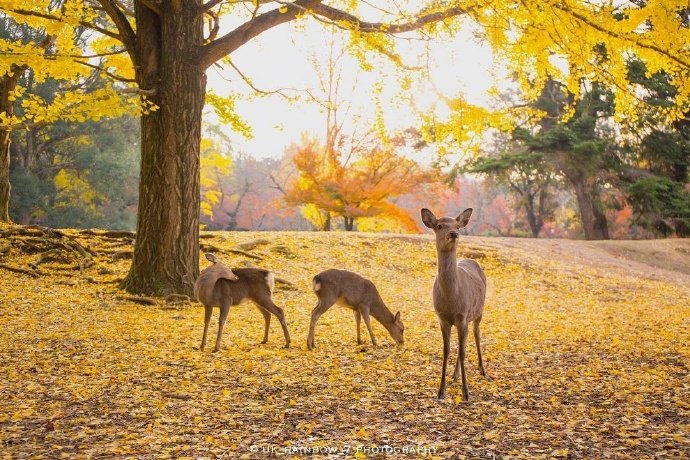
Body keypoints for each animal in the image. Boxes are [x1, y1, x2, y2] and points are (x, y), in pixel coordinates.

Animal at [421, 207, 487, 401]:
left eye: (457, 225)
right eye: (439, 226)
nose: (454, 233)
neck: (451, 298)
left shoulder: (463, 315)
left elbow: (463, 351)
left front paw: (466, 393)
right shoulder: (442, 318)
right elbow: (447, 350)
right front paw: (440, 391)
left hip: (479, 311)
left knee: (476, 334)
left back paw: (482, 369)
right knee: (463, 342)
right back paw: (455, 375)